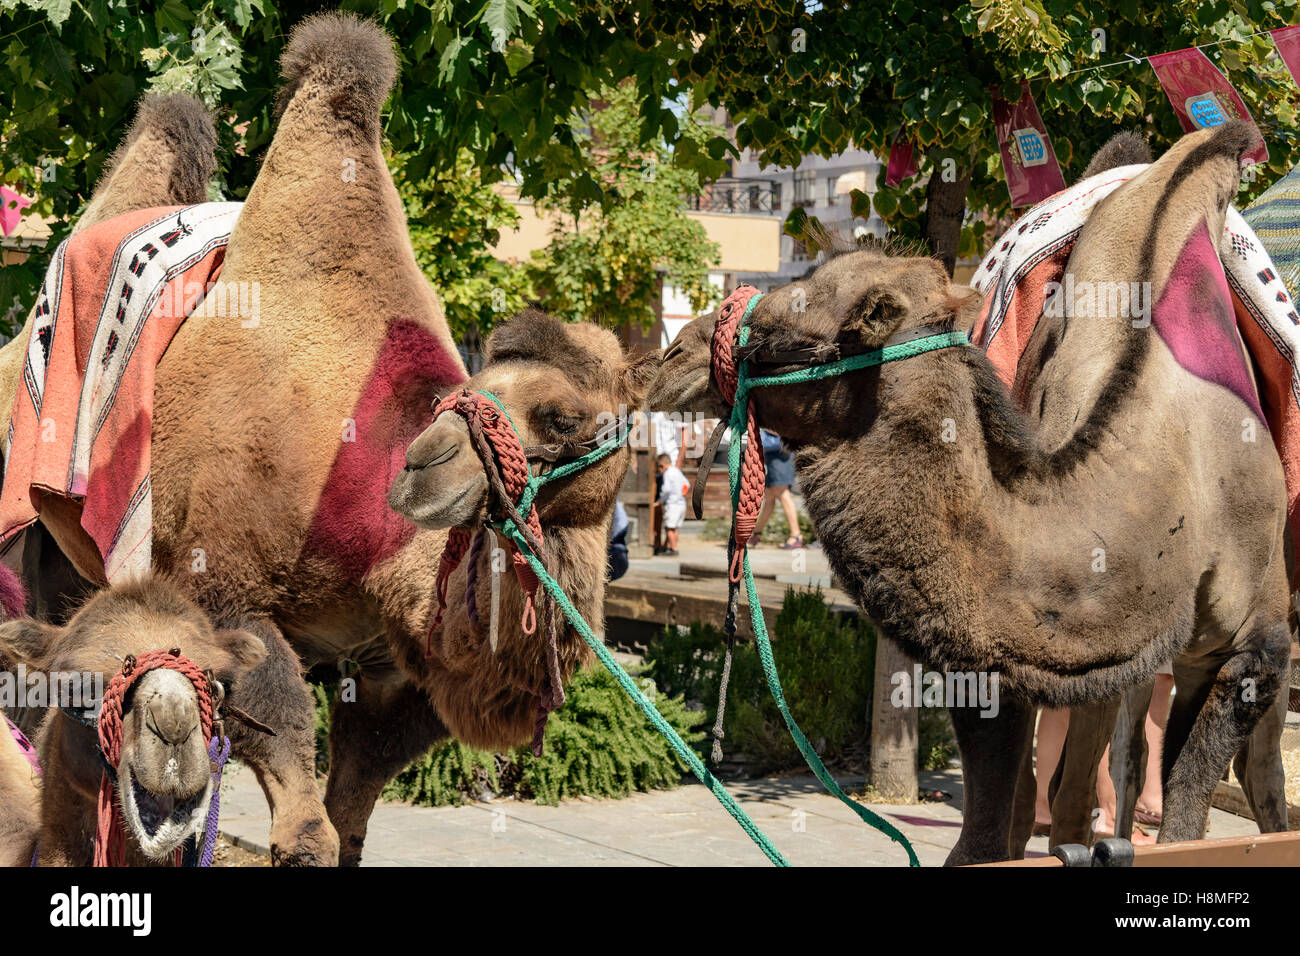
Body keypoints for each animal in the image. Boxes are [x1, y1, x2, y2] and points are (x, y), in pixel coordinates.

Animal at [647, 121, 1289, 868]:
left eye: (782, 334)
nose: (668, 359)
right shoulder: (1002, 662)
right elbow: (986, 827)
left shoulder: (1254, 646)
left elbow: (1188, 817)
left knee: (1255, 771)